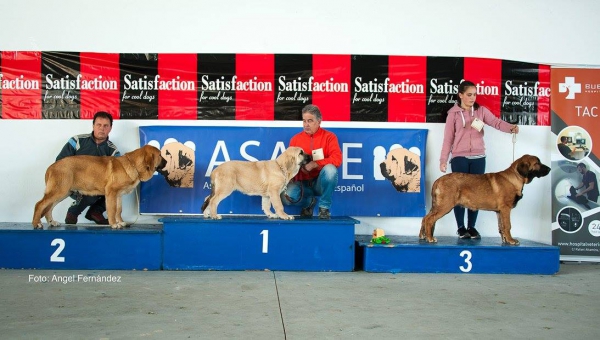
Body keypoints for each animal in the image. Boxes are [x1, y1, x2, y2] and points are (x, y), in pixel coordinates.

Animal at [34, 145, 168, 230]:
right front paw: (114, 224)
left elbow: (119, 210)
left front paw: (120, 222)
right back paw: (37, 224)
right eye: (160, 155)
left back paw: (52, 222)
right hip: (59, 191)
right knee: (40, 204)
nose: (167, 162)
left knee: (49, 207)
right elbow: (112, 210)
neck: (134, 165)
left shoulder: (118, 195)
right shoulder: (111, 193)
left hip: (63, 193)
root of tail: (51, 166)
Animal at [420, 155, 552, 246]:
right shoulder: (506, 209)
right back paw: (430, 238)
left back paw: (423, 236)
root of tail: (438, 180)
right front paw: (511, 240)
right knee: (430, 219)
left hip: (438, 205)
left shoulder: (499, 211)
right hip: (445, 205)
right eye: (537, 163)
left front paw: (505, 240)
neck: (515, 178)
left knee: (425, 218)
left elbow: (501, 227)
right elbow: (508, 225)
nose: (550, 169)